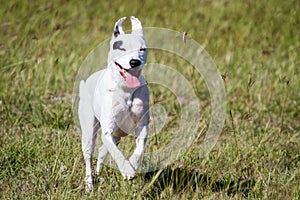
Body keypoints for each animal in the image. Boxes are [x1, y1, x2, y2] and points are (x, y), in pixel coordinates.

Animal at [78, 16, 150, 190]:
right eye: (121, 48)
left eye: (142, 49)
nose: (134, 62)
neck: (126, 89)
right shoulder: (107, 130)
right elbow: (117, 153)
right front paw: (127, 170)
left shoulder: (142, 126)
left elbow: (139, 148)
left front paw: (132, 165)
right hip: (89, 131)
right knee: (89, 155)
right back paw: (89, 183)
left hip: (117, 134)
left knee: (104, 149)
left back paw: (99, 173)